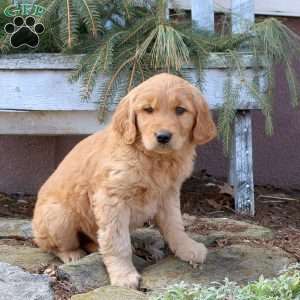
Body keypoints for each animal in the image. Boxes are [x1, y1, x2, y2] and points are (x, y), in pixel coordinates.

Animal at [31, 72, 217, 288]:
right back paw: (72, 254)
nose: (163, 136)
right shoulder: (112, 198)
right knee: (52, 245)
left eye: (180, 110)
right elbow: (117, 241)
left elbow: (175, 224)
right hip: (58, 216)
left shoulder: (168, 193)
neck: (153, 158)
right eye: (148, 110)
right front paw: (123, 275)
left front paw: (187, 248)